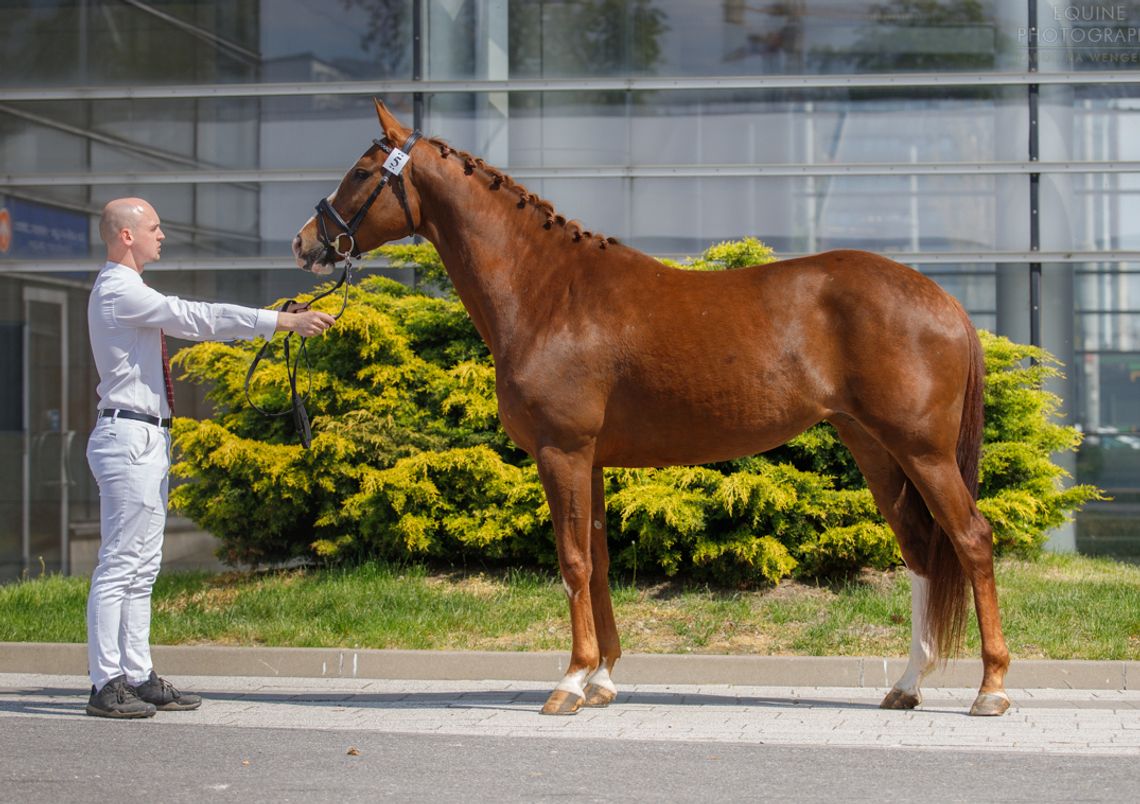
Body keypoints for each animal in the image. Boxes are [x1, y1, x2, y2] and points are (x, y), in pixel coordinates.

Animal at [289, 100, 1012, 716]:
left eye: (360, 172)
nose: (305, 242)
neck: (548, 293)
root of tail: (945, 302)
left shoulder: (562, 452)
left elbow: (572, 562)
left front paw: (569, 683)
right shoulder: (592, 461)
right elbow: (600, 562)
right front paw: (602, 679)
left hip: (921, 451)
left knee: (971, 540)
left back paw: (991, 689)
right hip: (873, 447)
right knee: (919, 549)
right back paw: (907, 686)